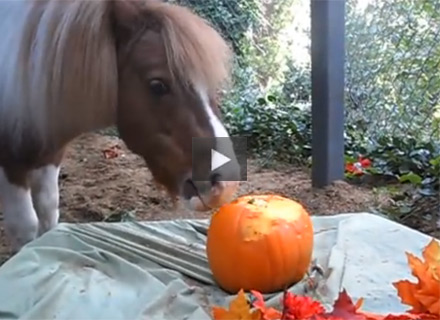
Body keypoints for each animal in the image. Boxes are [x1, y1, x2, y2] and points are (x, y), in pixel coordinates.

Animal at [0, 0, 241, 254]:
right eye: (157, 85)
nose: (226, 183)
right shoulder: (10, 165)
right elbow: (25, 227)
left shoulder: (50, 153)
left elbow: (48, 214)